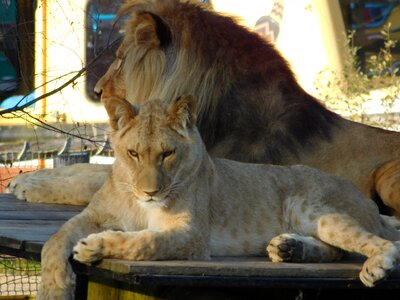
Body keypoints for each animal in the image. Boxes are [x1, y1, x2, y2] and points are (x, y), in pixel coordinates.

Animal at [5, 0, 400, 216]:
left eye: (119, 59)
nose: (100, 90)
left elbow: (93, 182)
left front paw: (33, 187)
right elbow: (89, 172)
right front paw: (32, 178)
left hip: (386, 174)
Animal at [38, 95, 400, 298]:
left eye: (167, 154)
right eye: (133, 154)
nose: (151, 192)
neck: (137, 202)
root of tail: (365, 199)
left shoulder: (193, 236)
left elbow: (145, 242)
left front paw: (96, 246)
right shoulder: (93, 215)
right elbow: (55, 238)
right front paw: (55, 287)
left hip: (308, 207)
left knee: (378, 243)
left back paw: (376, 267)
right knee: (336, 250)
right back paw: (288, 248)